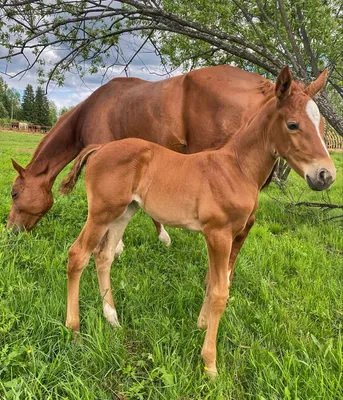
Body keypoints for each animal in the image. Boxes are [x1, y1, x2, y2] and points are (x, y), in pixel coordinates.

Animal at [6, 66, 278, 252]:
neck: (88, 112)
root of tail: (266, 86)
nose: (10, 230)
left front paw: (116, 246)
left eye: (14, 194)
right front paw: (163, 237)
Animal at [59, 67, 336, 376]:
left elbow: (212, 280)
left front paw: (201, 325)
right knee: (78, 254)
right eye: (292, 124)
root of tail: (98, 149)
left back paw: (112, 318)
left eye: (321, 124)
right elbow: (219, 292)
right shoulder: (218, 233)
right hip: (101, 212)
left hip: (123, 212)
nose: (326, 175)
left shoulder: (224, 235)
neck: (236, 167)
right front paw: (210, 365)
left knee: (104, 255)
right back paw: (74, 329)